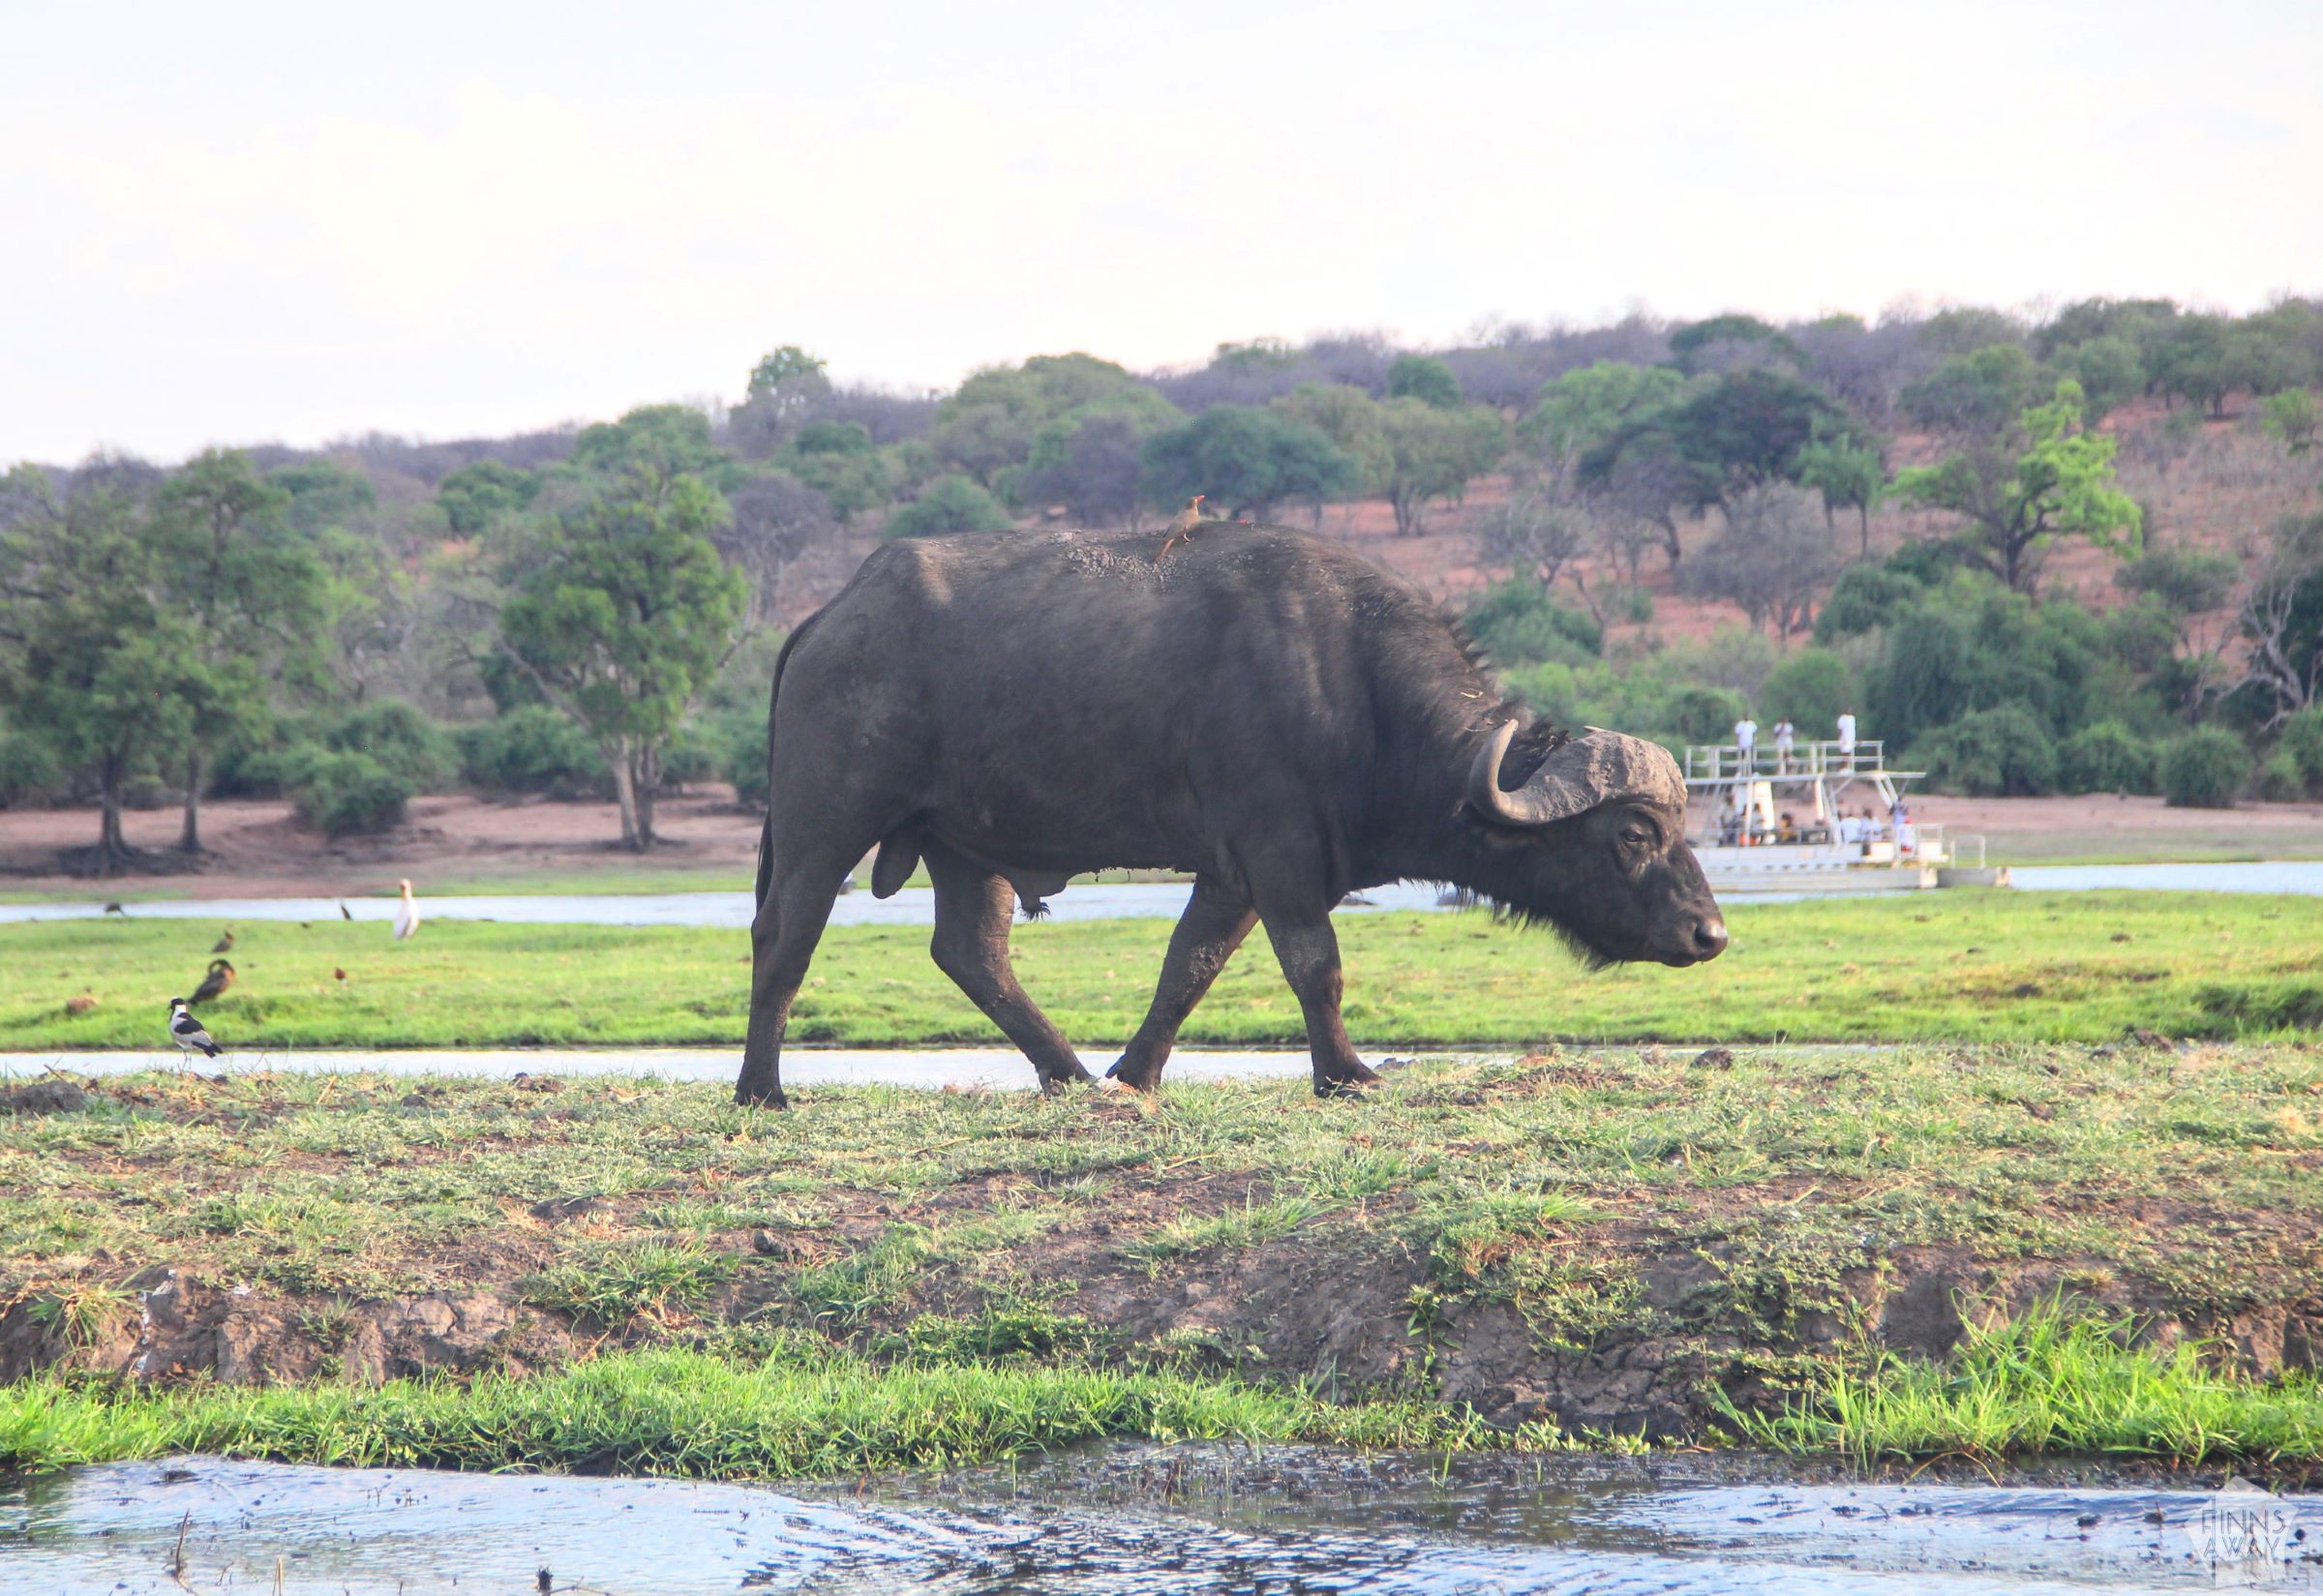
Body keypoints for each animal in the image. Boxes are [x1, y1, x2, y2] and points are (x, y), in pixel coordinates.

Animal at [737, 524, 1725, 1107]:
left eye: (1681, 830)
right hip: (825, 827)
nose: (1709, 932)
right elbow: (1316, 966)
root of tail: (827, 619)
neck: (1358, 691)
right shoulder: (1279, 857)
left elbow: (1190, 967)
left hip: (964, 847)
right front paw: (1346, 1072)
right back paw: (762, 1087)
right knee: (785, 936)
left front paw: (1133, 1074)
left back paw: (1070, 1074)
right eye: (1633, 834)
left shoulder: (1232, 873)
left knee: (971, 954)